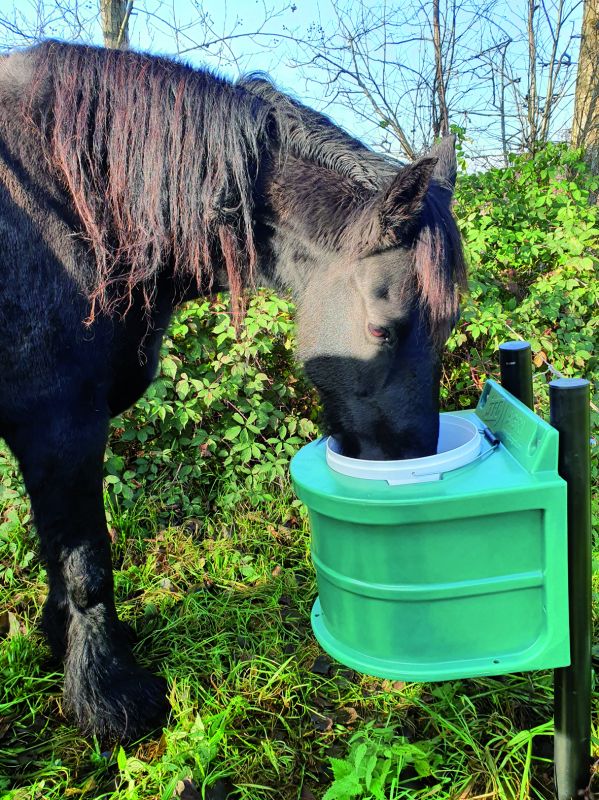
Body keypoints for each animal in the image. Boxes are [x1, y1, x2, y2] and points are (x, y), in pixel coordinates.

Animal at [0, 37, 468, 736]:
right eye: (384, 330)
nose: (410, 469)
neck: (72, 202)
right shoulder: (60, 427)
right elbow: (85, 563)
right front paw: (109, 697)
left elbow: (59, 551)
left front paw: (64, 646)